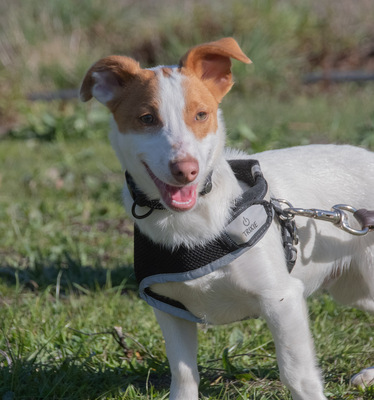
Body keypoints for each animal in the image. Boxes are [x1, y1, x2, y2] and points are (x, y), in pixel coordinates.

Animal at [79, 36, 374, 396]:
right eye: (147, 118)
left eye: (201, 114)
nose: (186, 170)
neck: (193, 224)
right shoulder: (170, 310)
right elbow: (184, 375)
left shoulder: (283, 299)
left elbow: (297, 374)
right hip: (353, 289)